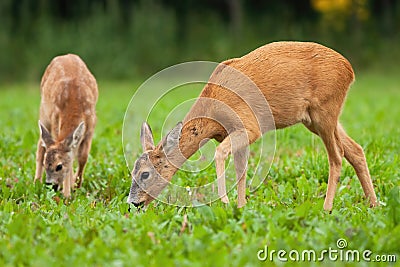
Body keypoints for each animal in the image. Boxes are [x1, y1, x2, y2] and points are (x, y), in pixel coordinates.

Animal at [35, 53, 99, 198]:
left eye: (59, 166)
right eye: (45, 164)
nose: (51, 186)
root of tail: (65, 55)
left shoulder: (90, 127)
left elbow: (82, 157)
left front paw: (75, 186)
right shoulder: (55, 121)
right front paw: (67, 194)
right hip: (44, 112)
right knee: (40, 145)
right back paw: (36, 182)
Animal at [127, 41, 378, 211]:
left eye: (145, 174)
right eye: (132, 172)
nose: (133, 202)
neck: (212, 112)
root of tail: (349, 70)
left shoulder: (249, 126)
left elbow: (220, 154)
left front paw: (225, 201)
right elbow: (241, 170)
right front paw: (241, 207)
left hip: (325, 111)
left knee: (337, 155)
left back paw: (326, 208)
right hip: (315, 119)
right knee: (355, 150)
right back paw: (374, 204)